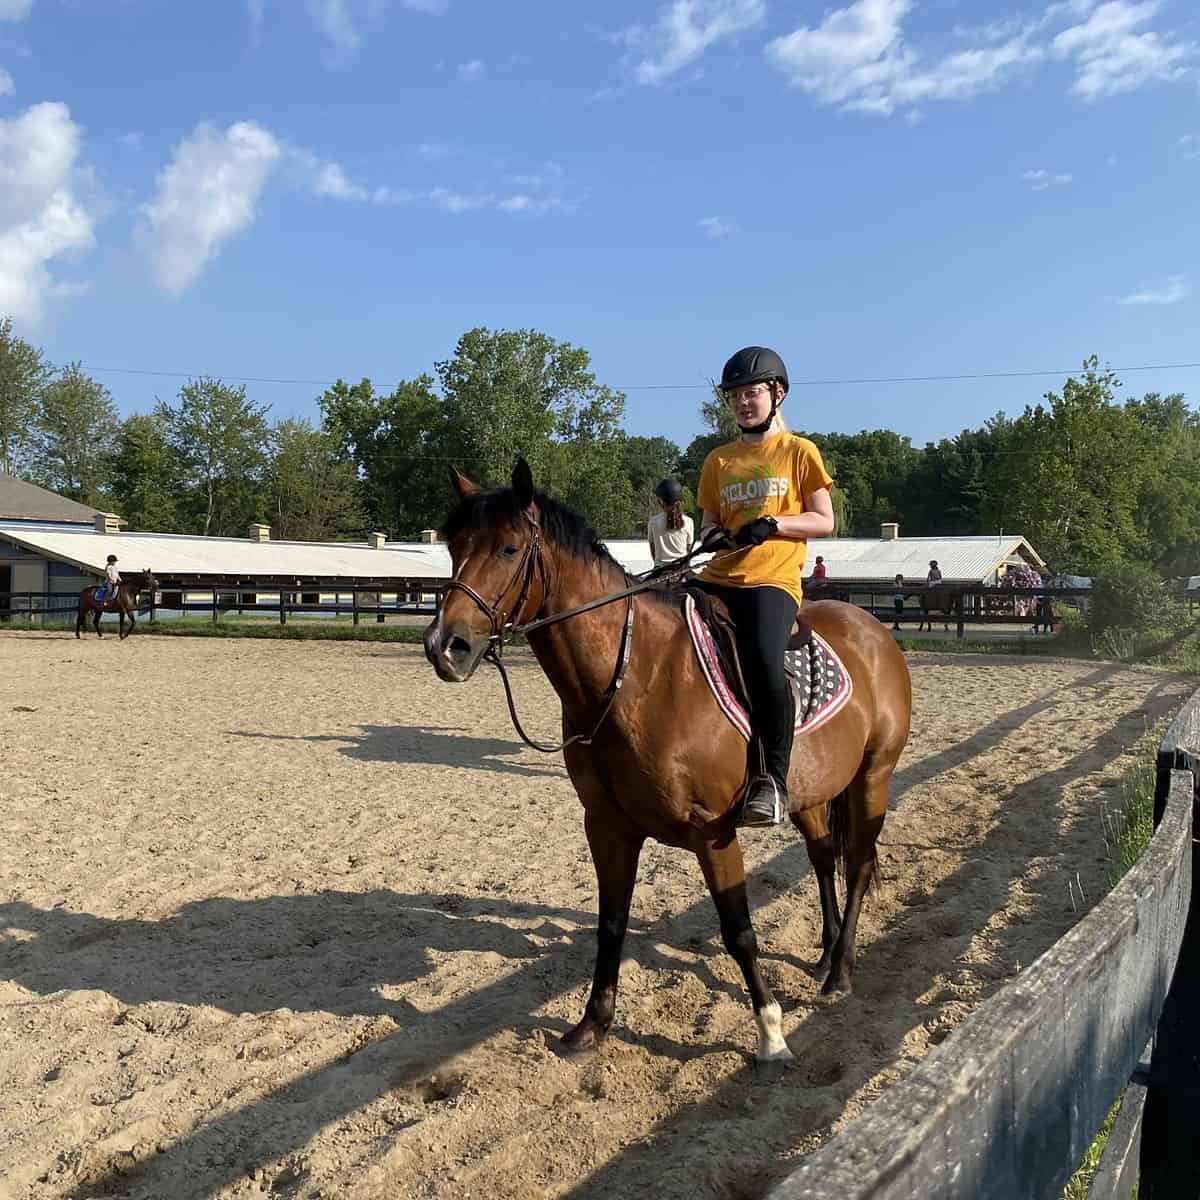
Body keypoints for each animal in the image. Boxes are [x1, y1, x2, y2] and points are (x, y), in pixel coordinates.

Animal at [424, 461, 912, 1069]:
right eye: (454, 547)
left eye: (510, 548)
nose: (445, 647)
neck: (638, 675)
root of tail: (871, 630)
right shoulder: (608, 827)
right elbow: (611, 924)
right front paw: (592, 1025)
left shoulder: (713, 833)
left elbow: (738, 930)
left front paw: (770, 1034)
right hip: (814, 791)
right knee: (825, 858)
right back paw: (825, 956)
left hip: (873, 778)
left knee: (859, 865)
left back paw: (840, 972)